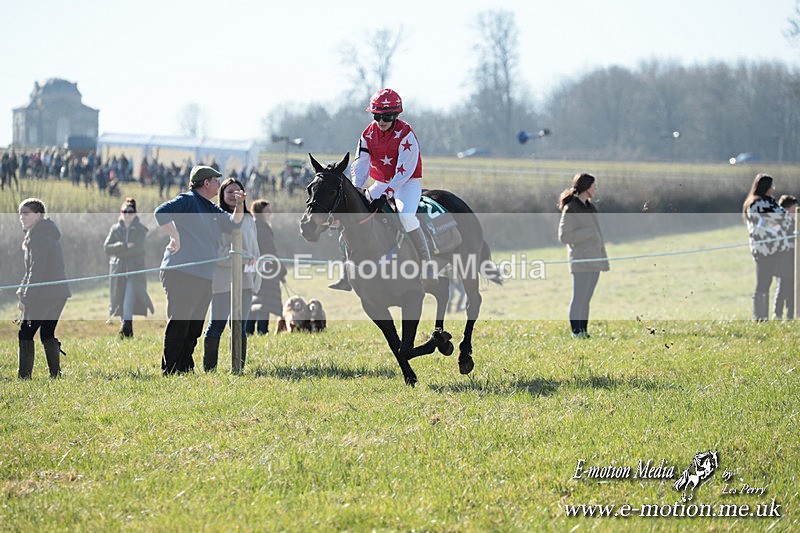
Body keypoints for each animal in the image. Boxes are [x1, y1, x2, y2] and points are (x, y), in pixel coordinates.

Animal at [300, 153, 503, 386]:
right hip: (433, 277)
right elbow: (395, 344)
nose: (307, 226)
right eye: (309, 188)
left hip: (466, 264)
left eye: (332, 190)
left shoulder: (412, 296)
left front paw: (440, 342)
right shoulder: (373, 306)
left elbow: (404, 347)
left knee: (473, 303)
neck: (372, 245)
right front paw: (411, 374)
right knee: (443, 290)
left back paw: (464, 355)